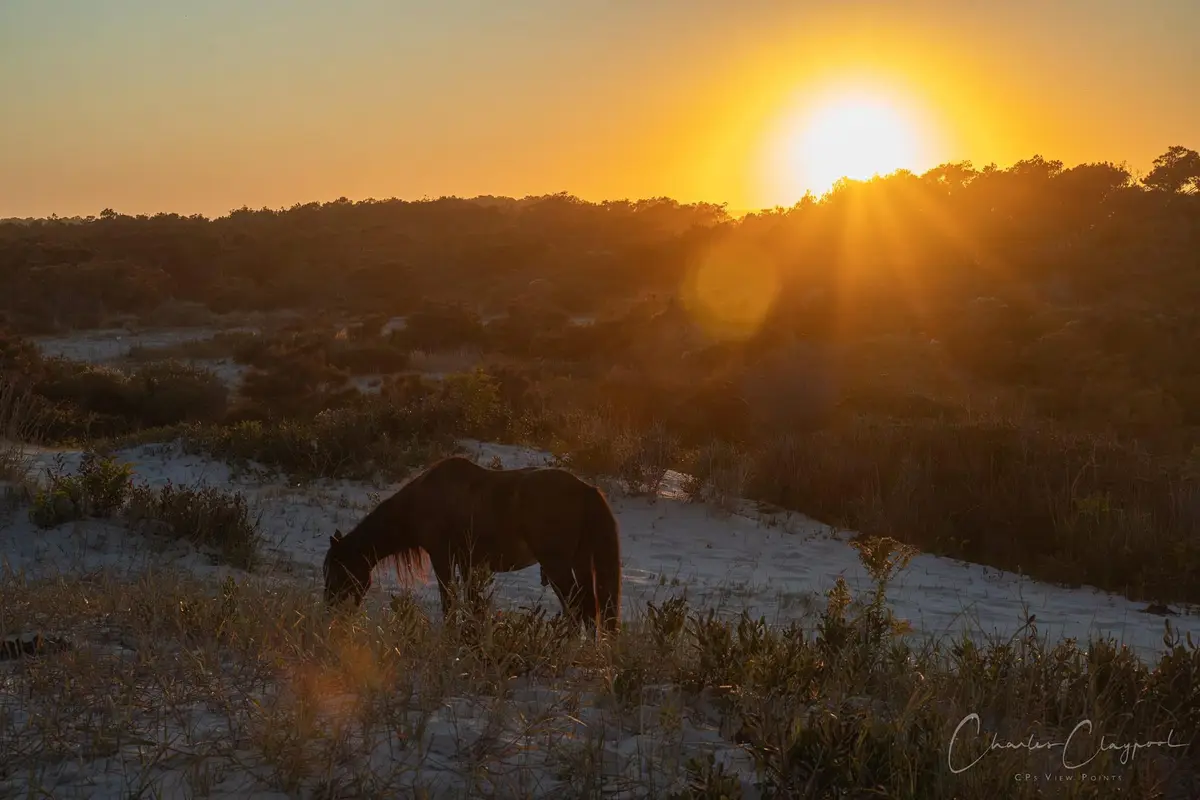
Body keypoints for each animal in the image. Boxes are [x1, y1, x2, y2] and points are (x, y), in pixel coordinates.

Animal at [322, 455, 622, 634]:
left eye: (338, 570)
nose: (330, 611)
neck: (423, 501)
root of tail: (585, 490)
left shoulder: (442, 557)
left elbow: (449, 599)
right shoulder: (467, 562)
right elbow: (471, 600)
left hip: (558, 566)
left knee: (576, 608)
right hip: (579, 563)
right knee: (589, 608)